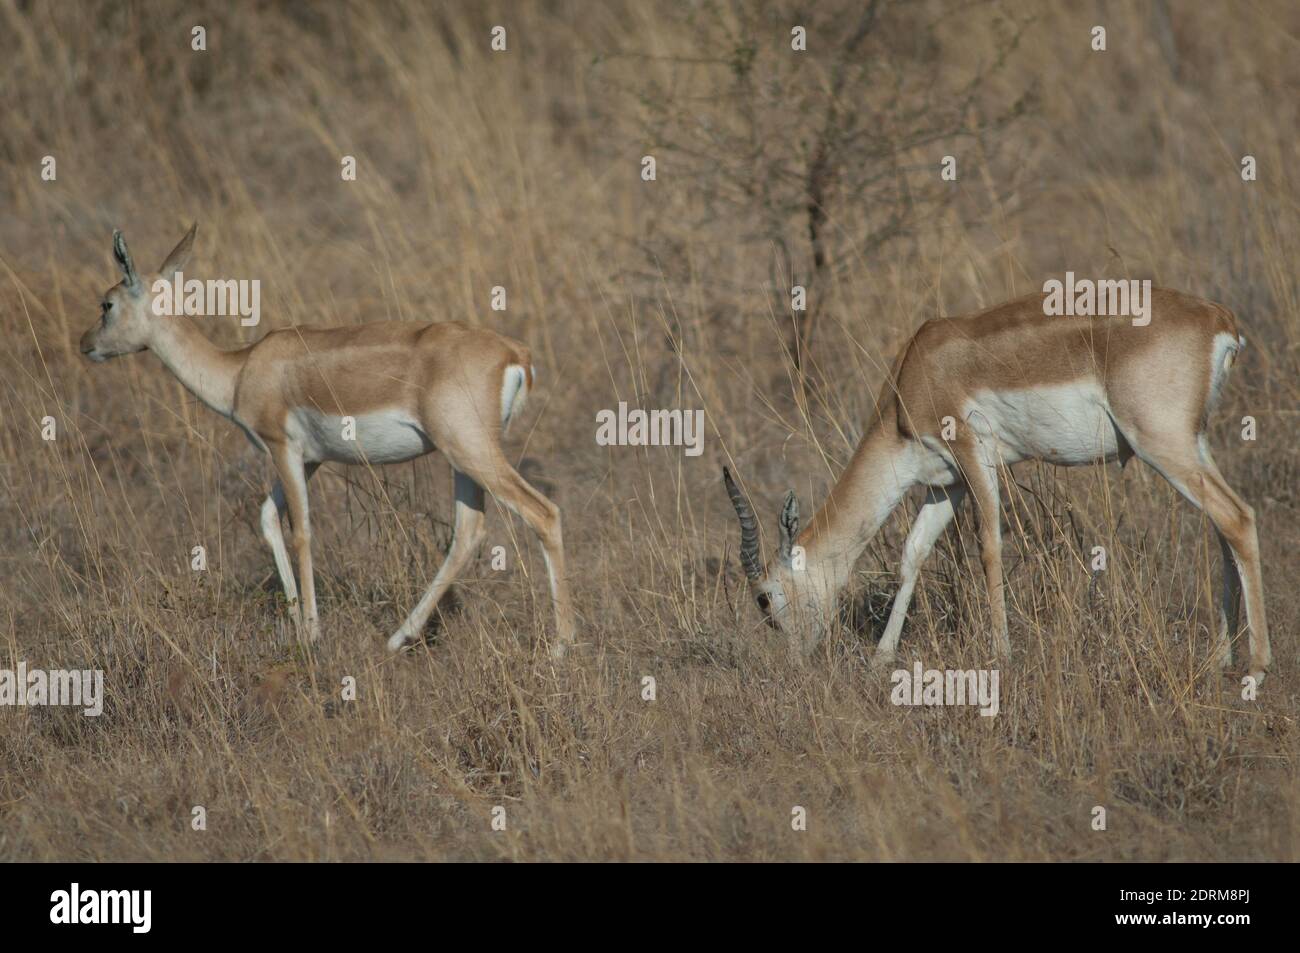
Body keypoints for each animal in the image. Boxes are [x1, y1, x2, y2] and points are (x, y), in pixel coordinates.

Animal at [77, 224, 574, 655]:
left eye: (107, 304)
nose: (85, 344)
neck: (241, 370)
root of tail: (515, 354)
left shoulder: (283, 448)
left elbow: (301, 532)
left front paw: (311, 633)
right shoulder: (310, 459)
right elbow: (267, 519)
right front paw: (298, 623)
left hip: (471, 452)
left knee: (543, 513)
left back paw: (561, 647)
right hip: (461, 461)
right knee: (468, 532)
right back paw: (398, 638)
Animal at [728, 288, 1274, 686]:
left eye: (766, 599)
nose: (795, 665)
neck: (917, 370)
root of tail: (1217, 318)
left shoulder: (974, 456)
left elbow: (989, 547)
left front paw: (1001, 654)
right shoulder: (945, 482)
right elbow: (912, 554)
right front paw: (882, 657)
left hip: (1161, 444)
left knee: (1238, 517)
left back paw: (1257, 667)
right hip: (1192, 444)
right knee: (1223, 526)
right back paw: (1221, 659)